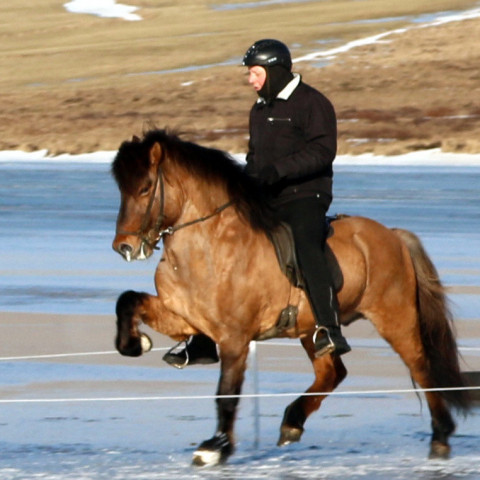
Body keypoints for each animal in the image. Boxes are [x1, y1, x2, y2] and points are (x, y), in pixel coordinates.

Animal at [110, 129, 470, 466]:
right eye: (122, 189)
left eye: (145, 188)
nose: (124, 247)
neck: (207, 249)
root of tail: (393, 235)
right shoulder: (183, 316)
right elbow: (127, 301)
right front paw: (136, 343)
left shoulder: (235, 338)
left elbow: (227, 394)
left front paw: (215, 448)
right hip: (312, 330)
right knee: (332, 372)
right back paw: (292, 423)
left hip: (394, 318)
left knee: (421, 367)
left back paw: (440, 437)